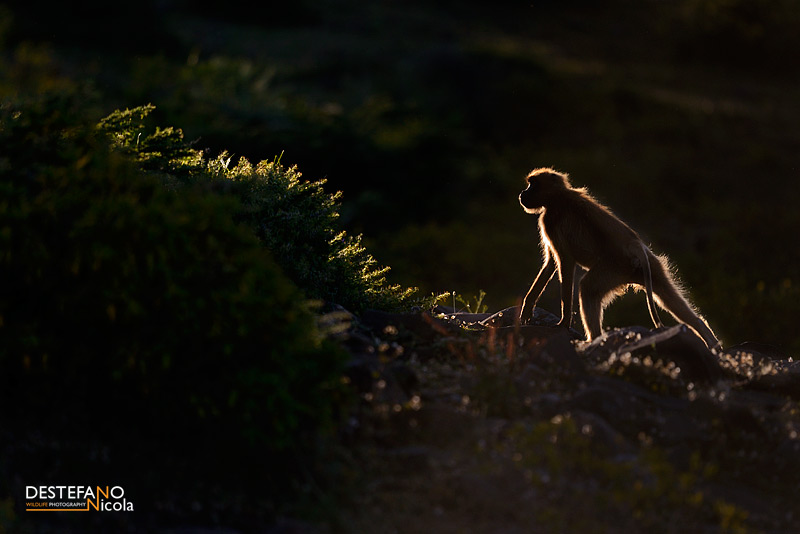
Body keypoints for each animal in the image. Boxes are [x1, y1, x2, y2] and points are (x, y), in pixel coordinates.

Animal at [516, 169, 720, 352]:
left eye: (533, 184)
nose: (522, 193)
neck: (557, 197)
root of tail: (635, 244)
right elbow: (550, 264)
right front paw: (527, 309)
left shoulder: (550, 222)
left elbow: (564, 264)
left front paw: (564, 323)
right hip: (649, 268)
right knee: (668, 298)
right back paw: (710, 339)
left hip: (615, 267)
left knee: (587, 287)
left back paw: (593, 341)